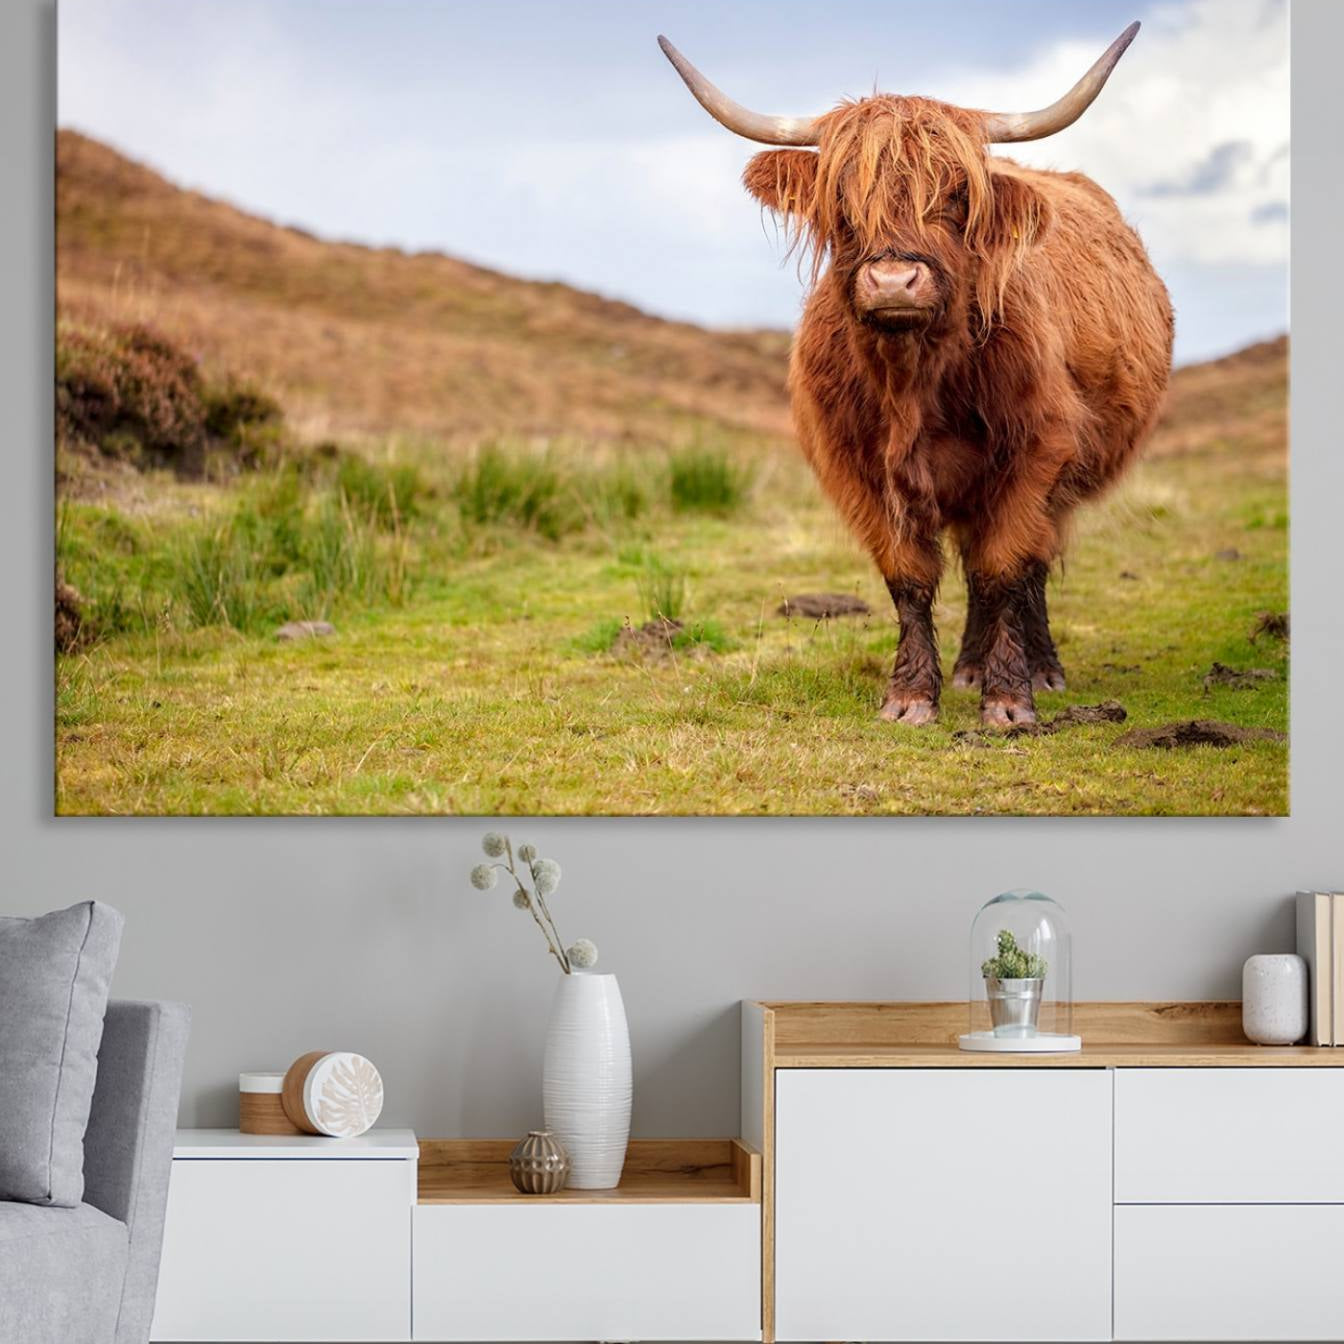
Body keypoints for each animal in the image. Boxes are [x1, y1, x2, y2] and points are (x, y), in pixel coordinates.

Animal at [659, 24, 1172, 728]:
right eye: (842, 199)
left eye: (956, 196)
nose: (894, 281)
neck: (914, 381)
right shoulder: (859, 469)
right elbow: (909, 576)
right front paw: (909, 697)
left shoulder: (1036, 454)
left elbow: (1005, 567)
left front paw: (1009, 701)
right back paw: (967, 668)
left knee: (1027, 567)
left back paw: (1039, 669)